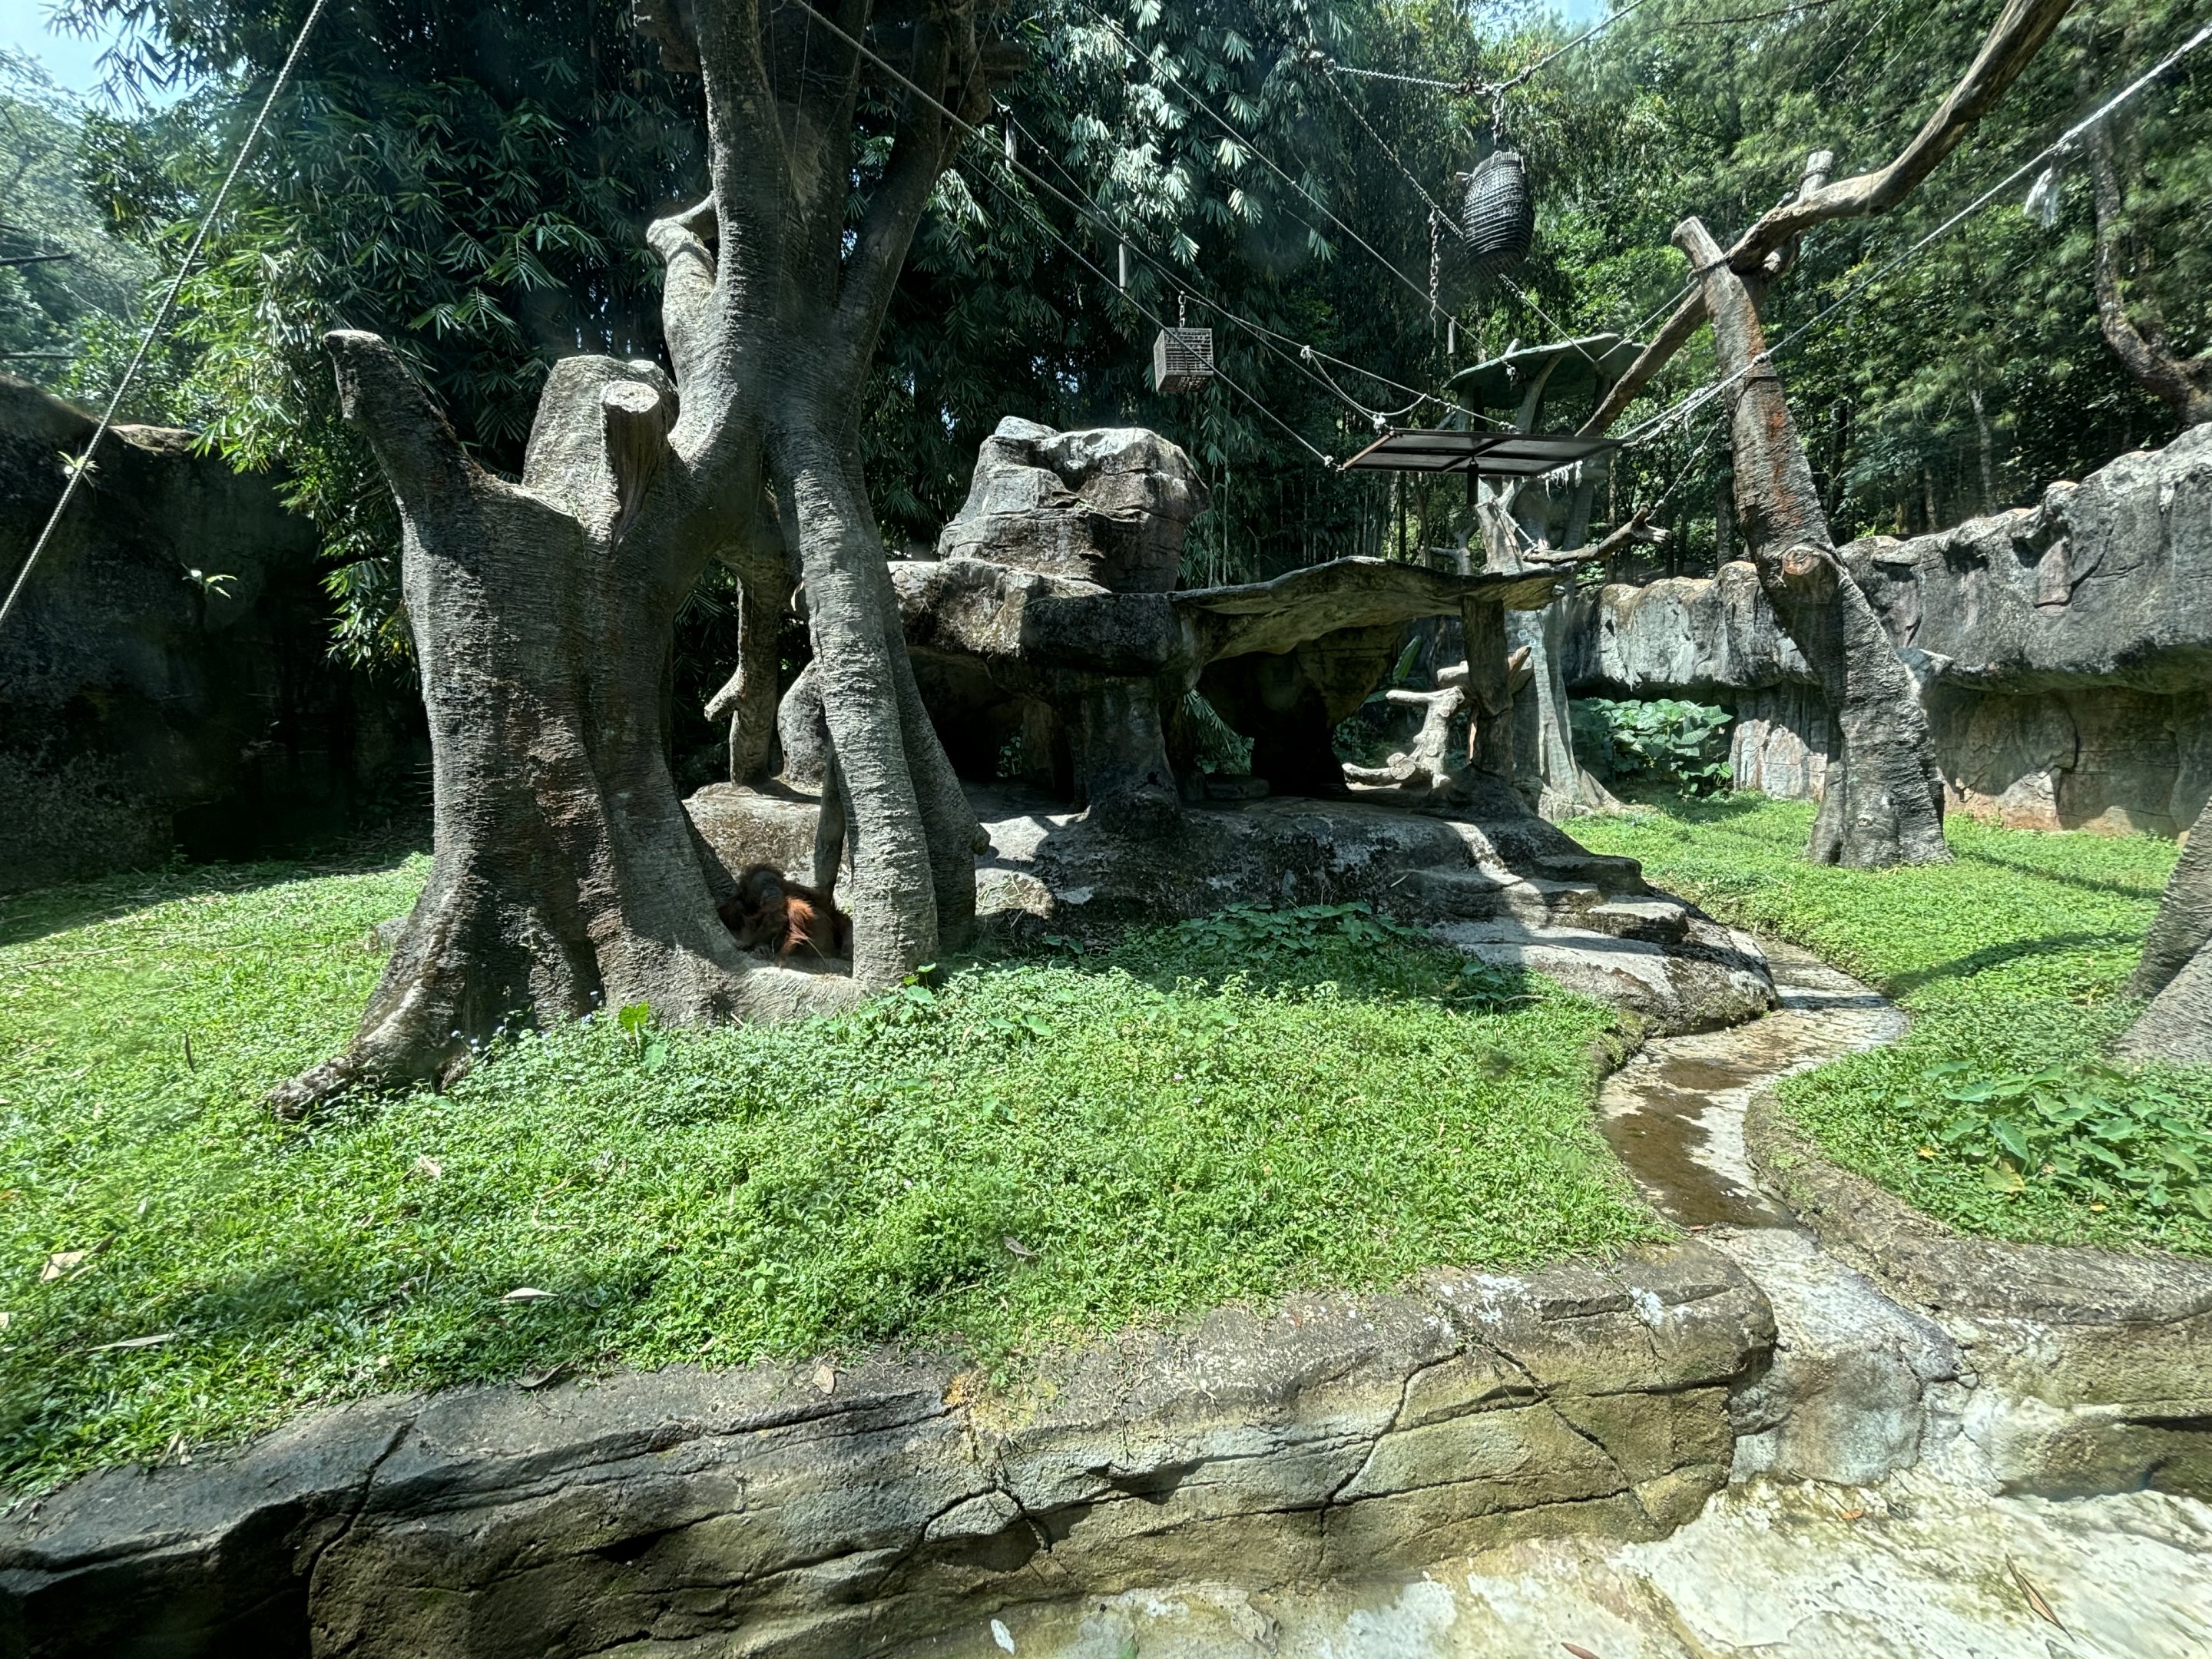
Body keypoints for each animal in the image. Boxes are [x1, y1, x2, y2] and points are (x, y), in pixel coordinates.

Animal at [717, 864, 852, 960]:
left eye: (773, 881)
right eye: (764, 884)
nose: (772, 888)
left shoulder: (796, 889)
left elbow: (831, 913)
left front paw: (848, 945)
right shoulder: (735, 904)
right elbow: (736, 909)